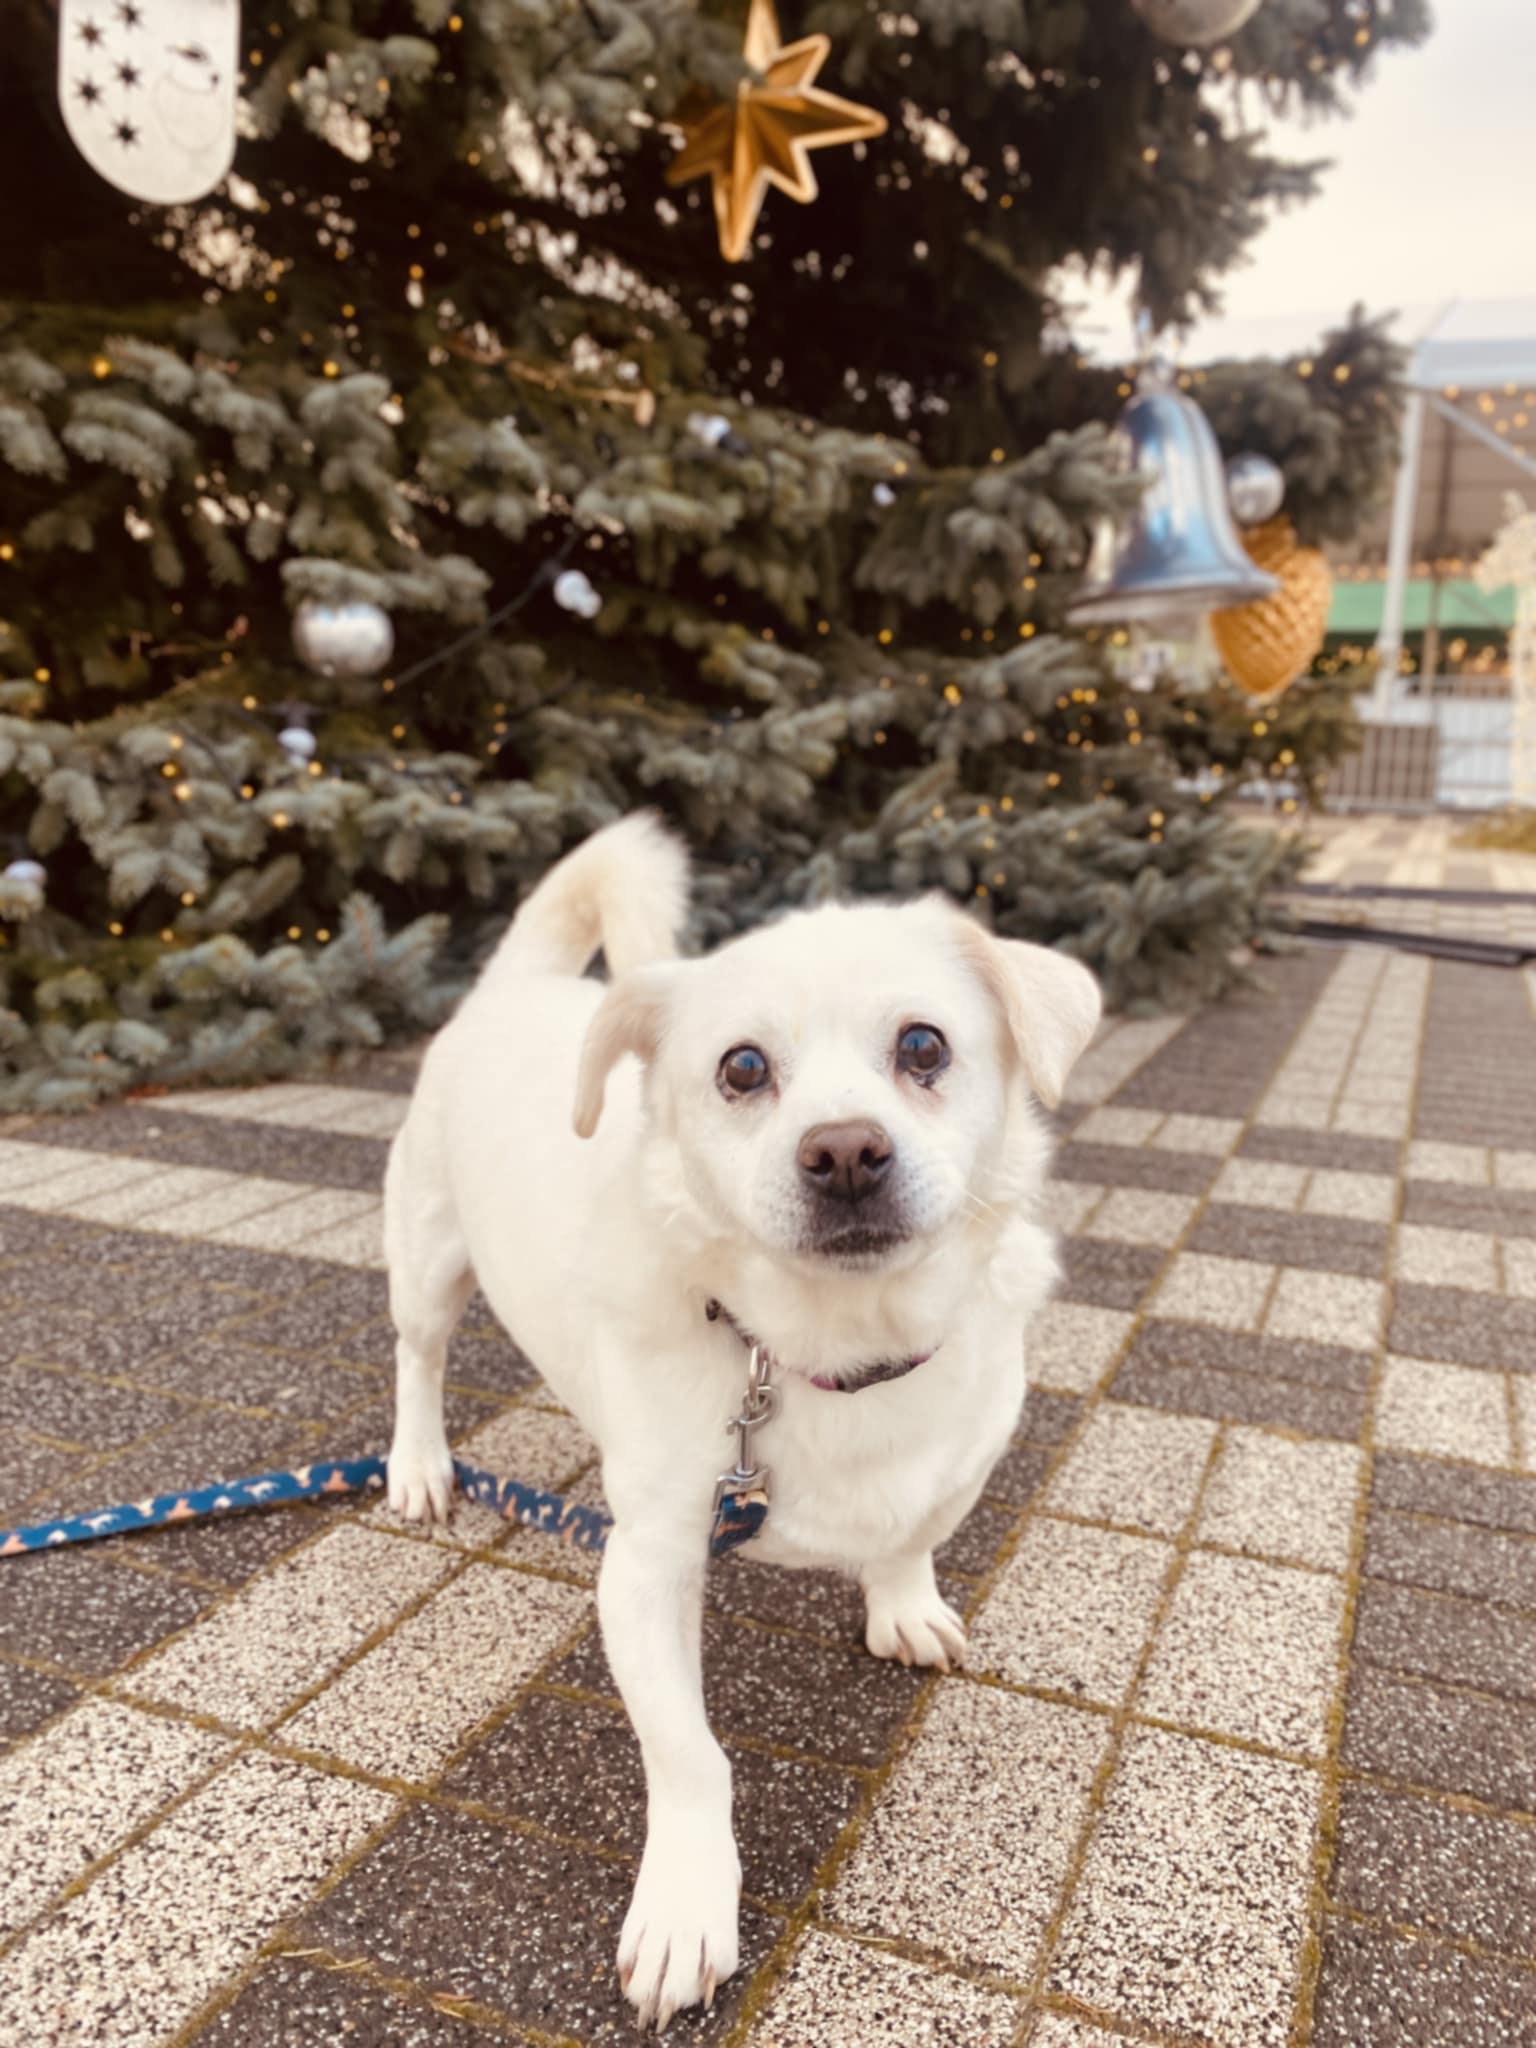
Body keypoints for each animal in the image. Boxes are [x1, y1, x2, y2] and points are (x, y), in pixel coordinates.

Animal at [384, 812, 1100, 2029]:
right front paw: (685, 1907)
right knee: (417, 1356)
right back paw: (420, 1463)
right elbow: (690, 1755)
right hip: (429, 1260)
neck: (838, 1358)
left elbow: (914, 1533)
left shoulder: (965, 1448)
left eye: (924, 1046)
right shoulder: (645, 1567)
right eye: (744, 1068)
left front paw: (904, 1605)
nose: (846, 1151)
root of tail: (516, 985)